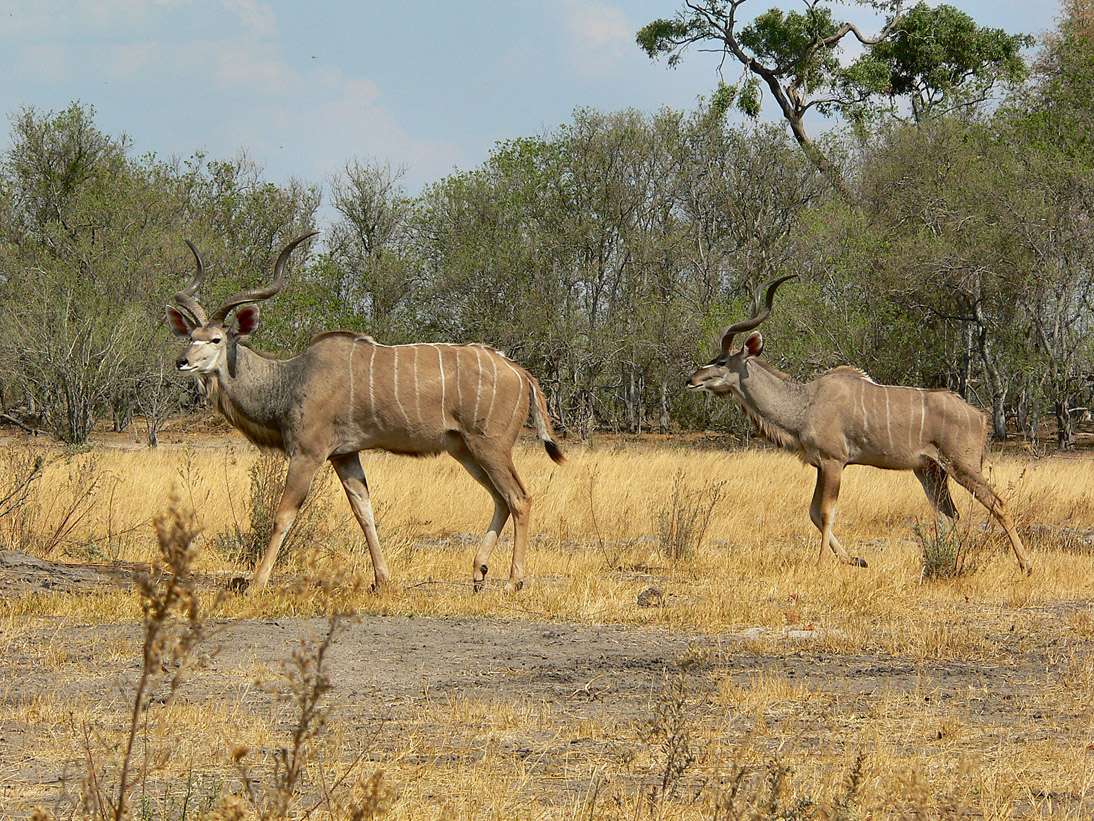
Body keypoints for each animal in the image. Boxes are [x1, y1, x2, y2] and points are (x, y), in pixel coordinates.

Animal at [168, 236, 573, 591]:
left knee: (519, 498)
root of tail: (521, 373)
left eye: (217, 339)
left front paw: (257, 584)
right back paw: (478, 573)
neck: (289, 378)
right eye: (189, 337)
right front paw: (382, 580)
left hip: (490, 446)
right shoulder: (345, 455)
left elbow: (283, 514)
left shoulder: (308, 453)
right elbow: (364, 511)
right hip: (465, 450)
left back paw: (514, 581)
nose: (182, 362)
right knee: (500, 498)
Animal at [687, 280, 1028, 573]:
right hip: (930, 471)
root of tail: (979, 416)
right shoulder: (821, 465)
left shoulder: (834, 461)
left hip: (962, 466)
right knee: (949, 514)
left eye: (721, 361)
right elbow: (813, 512)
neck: (805, 404)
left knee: (998, 504)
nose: (691, 380)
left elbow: (826, 513)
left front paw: (822, 564)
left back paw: (1026, 565)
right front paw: (856, 560)